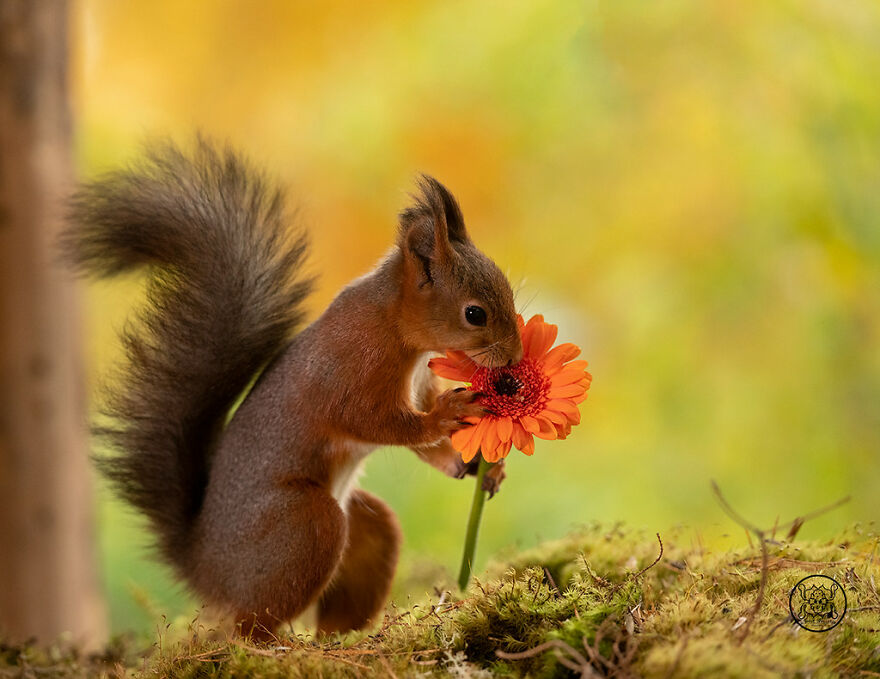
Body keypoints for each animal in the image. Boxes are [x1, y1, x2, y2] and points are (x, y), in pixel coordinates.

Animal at [62, 139, 523, 638]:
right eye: (474, 314)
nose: (514, 360)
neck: (397, 328)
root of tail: (204, 567)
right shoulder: (353, 367)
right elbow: (377, 422)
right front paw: (447, 414)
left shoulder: (417, 382)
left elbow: (428, 447)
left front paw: (480, 467)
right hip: (304, 525)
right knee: (248, 625)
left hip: (369, 528)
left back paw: (342, 640)